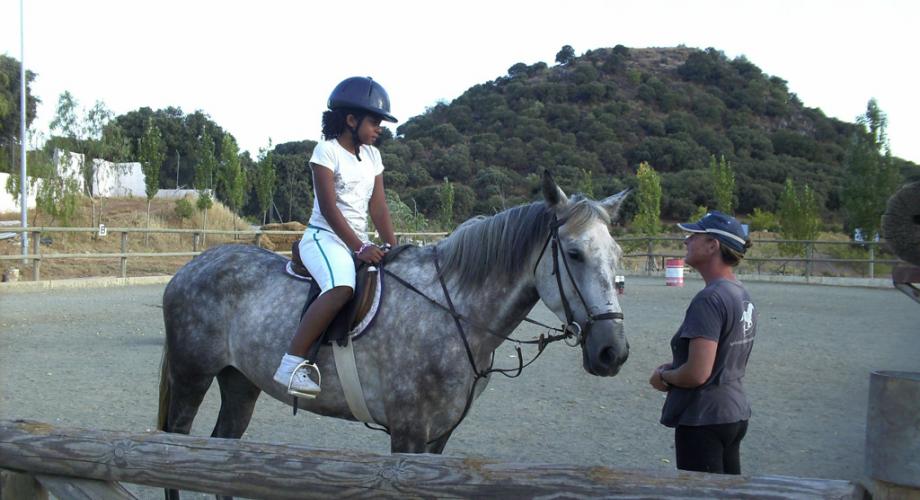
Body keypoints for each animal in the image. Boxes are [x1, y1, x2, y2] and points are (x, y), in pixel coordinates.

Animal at [160, 175, 632, 492]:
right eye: (574, 253)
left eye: (616, 254)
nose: (613, 353)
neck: (453, 310)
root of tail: (190, 268)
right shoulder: (408, 433)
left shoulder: (440, 435)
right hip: (192, 377)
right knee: (174, 448)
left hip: (240, 382)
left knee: (222, 453)